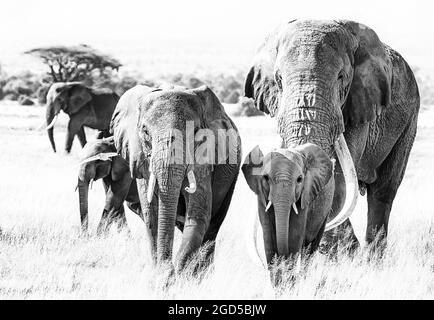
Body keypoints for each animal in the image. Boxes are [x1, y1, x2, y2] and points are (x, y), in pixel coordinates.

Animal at [110, 85, 242, 270]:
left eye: (196, 132)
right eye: (145, 131)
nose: (168, 268)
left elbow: (198, 214)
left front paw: (178, 271)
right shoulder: (140, 158)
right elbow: (151, 215)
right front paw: (163, 272)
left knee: (213, 227)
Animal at [242, 18, 418, 262]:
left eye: (341, 77)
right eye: (279, 80)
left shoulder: (359, 105)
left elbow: (338, 183)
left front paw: (345, 255)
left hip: (409, 121)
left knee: (383, 191)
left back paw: (370, 261)